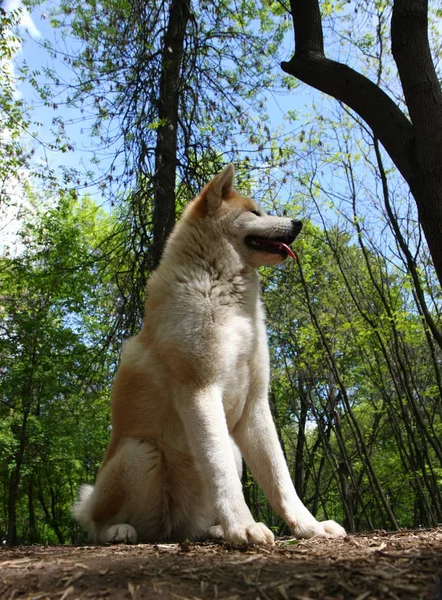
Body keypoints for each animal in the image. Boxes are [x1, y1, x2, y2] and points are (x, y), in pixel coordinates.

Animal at [74, 163, 348, 544]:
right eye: (255, 213)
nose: (298, 223)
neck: (223, 290)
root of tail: (171, 529)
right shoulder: (200, 391)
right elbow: (222, 473)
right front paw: (244, 525)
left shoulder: (255, 404)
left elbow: (280, 480)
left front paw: (309, 526)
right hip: (139, 452)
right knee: (96, 521)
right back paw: (118, 529)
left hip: (226, 454)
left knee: (194, 522)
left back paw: (214, 529)